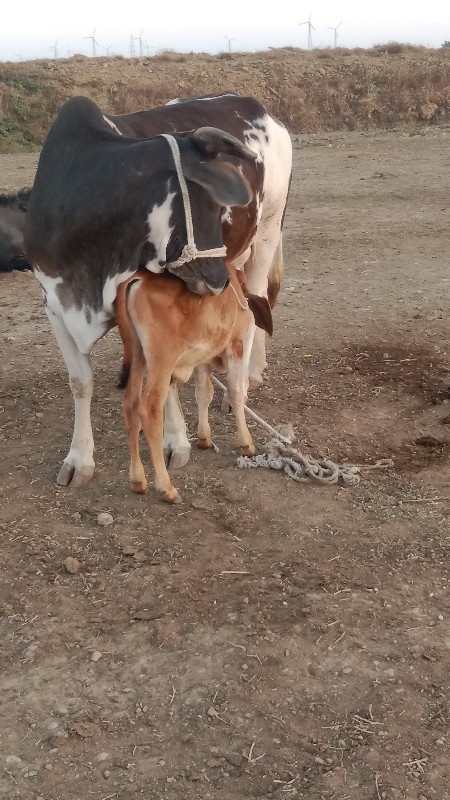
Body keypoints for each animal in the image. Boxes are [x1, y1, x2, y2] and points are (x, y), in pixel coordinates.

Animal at [114, 266, 272, 504]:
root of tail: (137, 279)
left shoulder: (202, 357)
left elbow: (204, 393)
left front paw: (204, 437)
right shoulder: (235, 344)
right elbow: (235, 392)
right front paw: (246, 443)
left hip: (137, 355)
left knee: (130, 405)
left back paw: (138, 480)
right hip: (161, 362)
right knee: (149, 409)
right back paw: (166, 487)